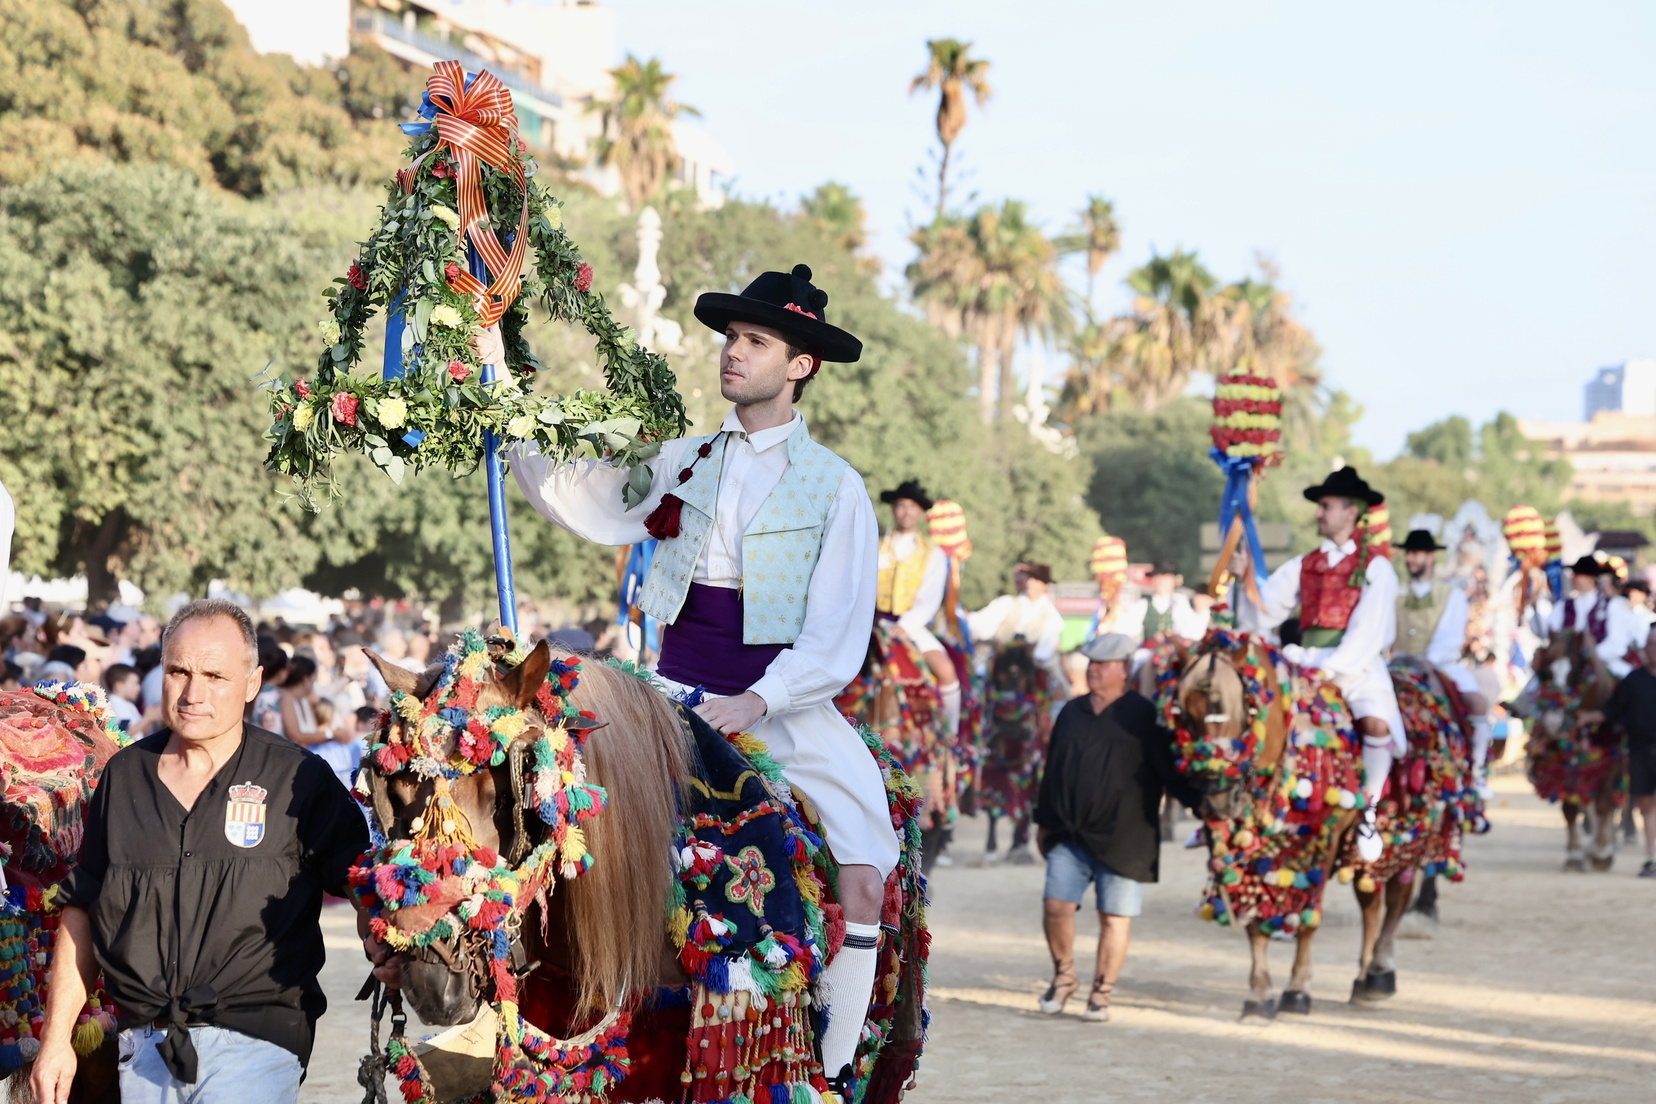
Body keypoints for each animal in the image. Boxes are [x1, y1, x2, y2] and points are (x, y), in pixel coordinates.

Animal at [1158, 631, 1363, 1020]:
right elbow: (1254, 921)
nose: (1218, 801)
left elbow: (1310, 918)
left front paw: (1297, 990)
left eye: (1245, 712)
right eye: (1184, 717)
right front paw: (1258, 993)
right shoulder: (1247, 853)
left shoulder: (1324, 842)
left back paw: (1373, 976)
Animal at [1526, 630, 1624, 871]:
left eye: (1578, 671)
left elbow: (1604, 805)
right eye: (1545, 670)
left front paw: (1602, 853)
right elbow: (1570, 809)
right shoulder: (1563, 767)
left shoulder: (1611, 764)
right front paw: (1574, 854)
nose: (1553, 722)